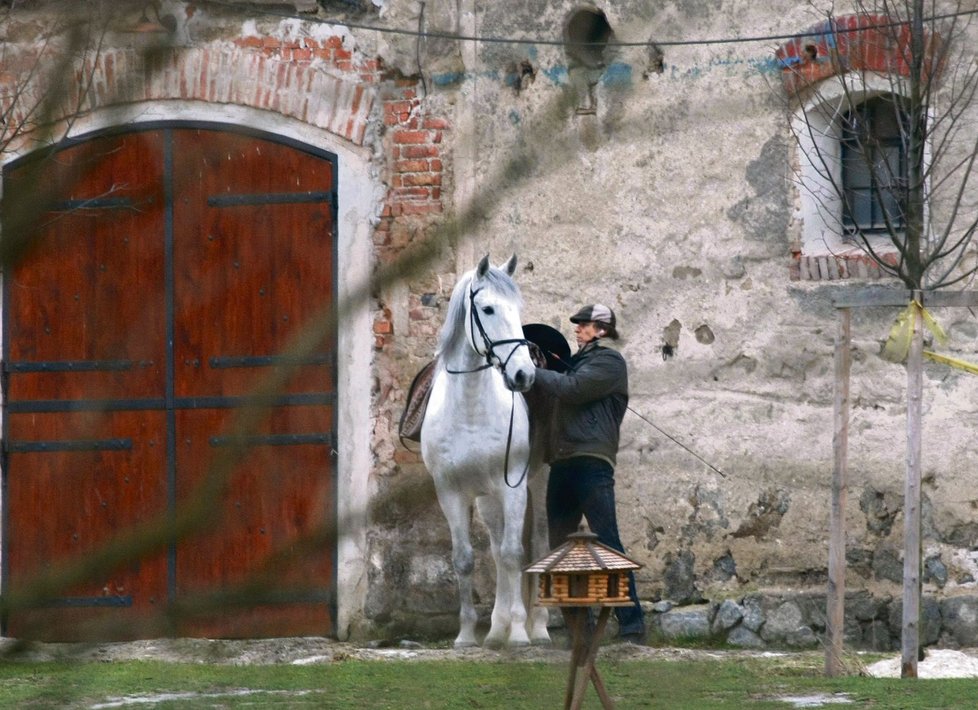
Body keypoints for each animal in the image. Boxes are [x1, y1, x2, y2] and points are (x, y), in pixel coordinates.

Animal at [422, 256, 548, 652]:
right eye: (488, 309)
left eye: (517, 309)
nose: (524, 375)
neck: (470, 410)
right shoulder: (450, 492)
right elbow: (465, 560)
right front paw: (466, 635)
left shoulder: (513, 488)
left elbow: (513, 554)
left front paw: (520, 632)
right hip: (487, 498)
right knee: (494, 548)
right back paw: (495, 629)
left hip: (536, 483)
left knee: (536, 542)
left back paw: (538, 627)